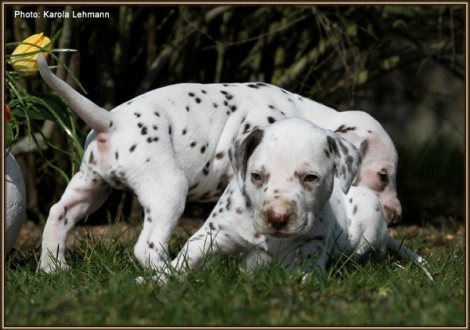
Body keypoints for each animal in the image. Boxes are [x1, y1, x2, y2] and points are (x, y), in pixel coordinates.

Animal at [37, 54, 400, 276]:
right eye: (384, 176)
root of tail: (109, 121)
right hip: (169, 190)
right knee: (147, 246)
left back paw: (53, 267)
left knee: (58, 213)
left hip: (90, 187)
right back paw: (167, 274)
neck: (304, 113)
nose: (396, 216)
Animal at [169, 118, 430, 282]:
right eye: (256, 176)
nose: (277, 217)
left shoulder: (309, 255)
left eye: (310, 178)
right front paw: (161, 279)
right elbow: (185, 259)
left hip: (370, 216)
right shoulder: (214, 235)